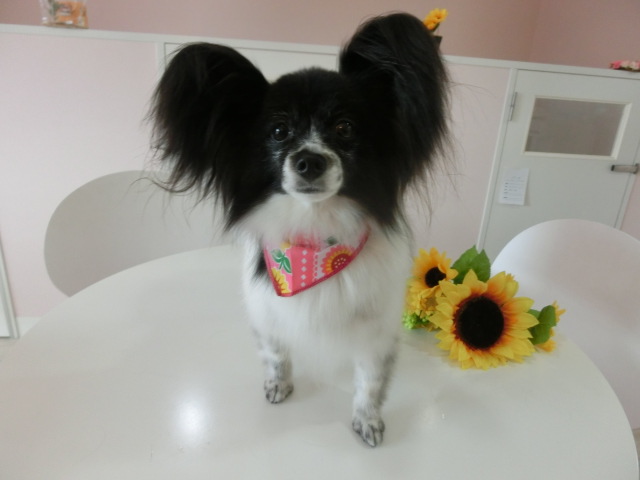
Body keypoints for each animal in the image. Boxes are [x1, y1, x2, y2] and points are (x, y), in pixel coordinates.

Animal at [150, 12, 448, 447]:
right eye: (278, 132)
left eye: (344, 128)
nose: (309, 161)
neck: (316, 235)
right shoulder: (267, 312)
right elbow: (275, 354)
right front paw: (279, 385)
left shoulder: (376, 329)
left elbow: (371, 381)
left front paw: (368, 421)